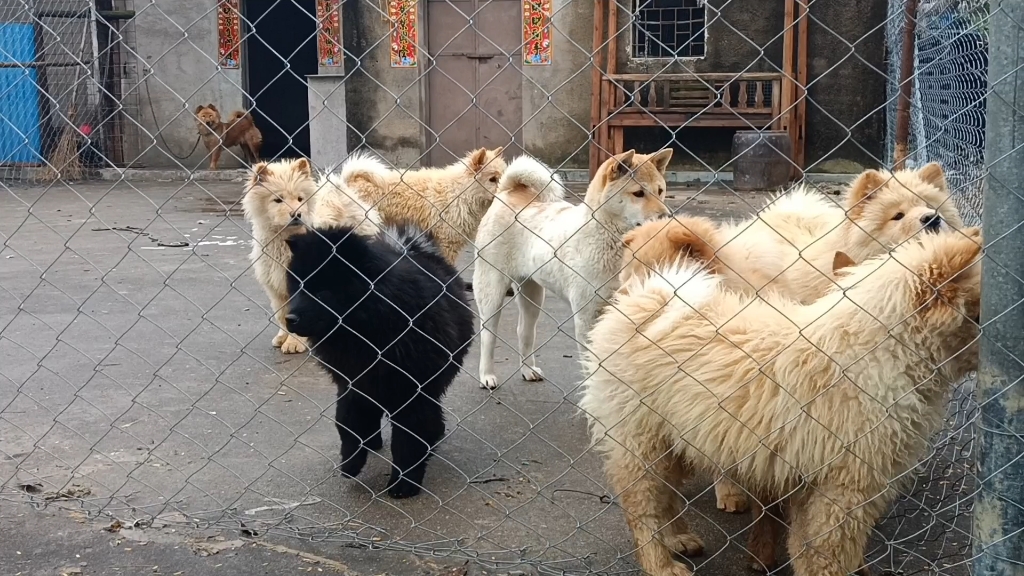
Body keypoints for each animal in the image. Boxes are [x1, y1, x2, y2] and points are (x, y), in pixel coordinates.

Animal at [243, 157, 385, 354]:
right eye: (278, 200)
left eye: (300, 199)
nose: (296, 214)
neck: (284, 241)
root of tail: (344, 191)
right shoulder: (275, 286)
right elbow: (282, 314)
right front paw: (282, 337)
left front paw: (294, 343)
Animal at [286, 222, 473, 496]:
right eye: (297, 288)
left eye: (321, 292)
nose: (289, 319)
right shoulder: (354, 384)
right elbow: (348, 423)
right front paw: (351, 463)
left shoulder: (410, 393)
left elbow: (408, 439)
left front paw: (404, 484)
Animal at [471, 150, 671, 387]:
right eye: (638, 193)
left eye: (660, 191)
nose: (667, 217)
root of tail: (509, 192)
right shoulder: (587, 315)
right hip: (492, 290)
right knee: (487, 335)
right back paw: (487, 375)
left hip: (533, 295)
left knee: (524, 332)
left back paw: (528, 370)